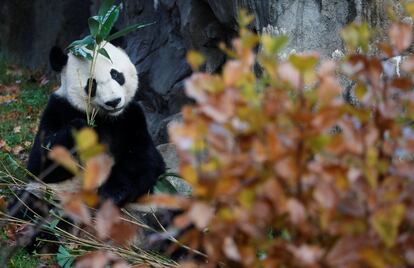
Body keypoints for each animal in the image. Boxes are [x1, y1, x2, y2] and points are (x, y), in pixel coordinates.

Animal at [26, 41, 166, 205]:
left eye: (115, 74)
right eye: (92, 84)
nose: (113, 102)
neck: (105, 117)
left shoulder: (131, 117)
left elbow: (145, 160)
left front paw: (113, 193)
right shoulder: (58, 108)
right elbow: (38, 163)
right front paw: (82, 128)